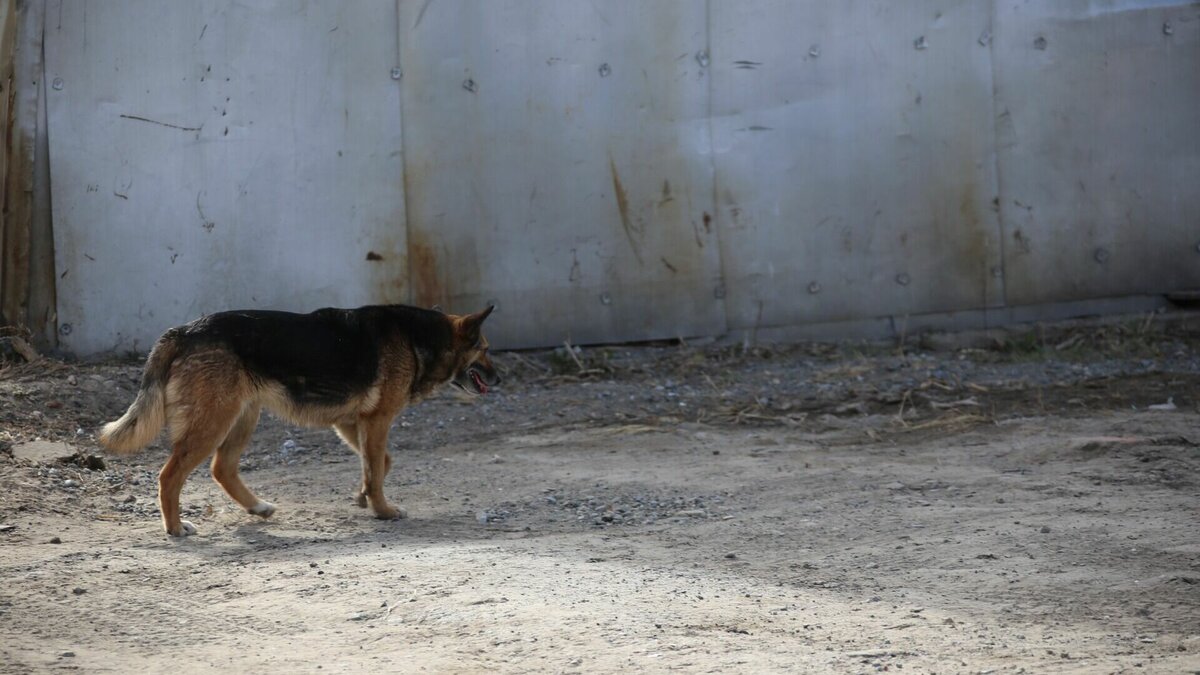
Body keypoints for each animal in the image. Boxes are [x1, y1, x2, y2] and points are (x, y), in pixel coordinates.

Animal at [94, 302, 501, 533]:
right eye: (485, 349)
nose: (500, 378)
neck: (419, 337)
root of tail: (183, 331)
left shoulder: (353, 422)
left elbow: (380, 463)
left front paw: (362, 496)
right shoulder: (377, 420)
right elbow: (377, 466)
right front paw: (382, 509)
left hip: (242, 417)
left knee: (221, 469)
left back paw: (256, 506)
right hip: (213, 423)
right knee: (170, 476)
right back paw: (176, 527)